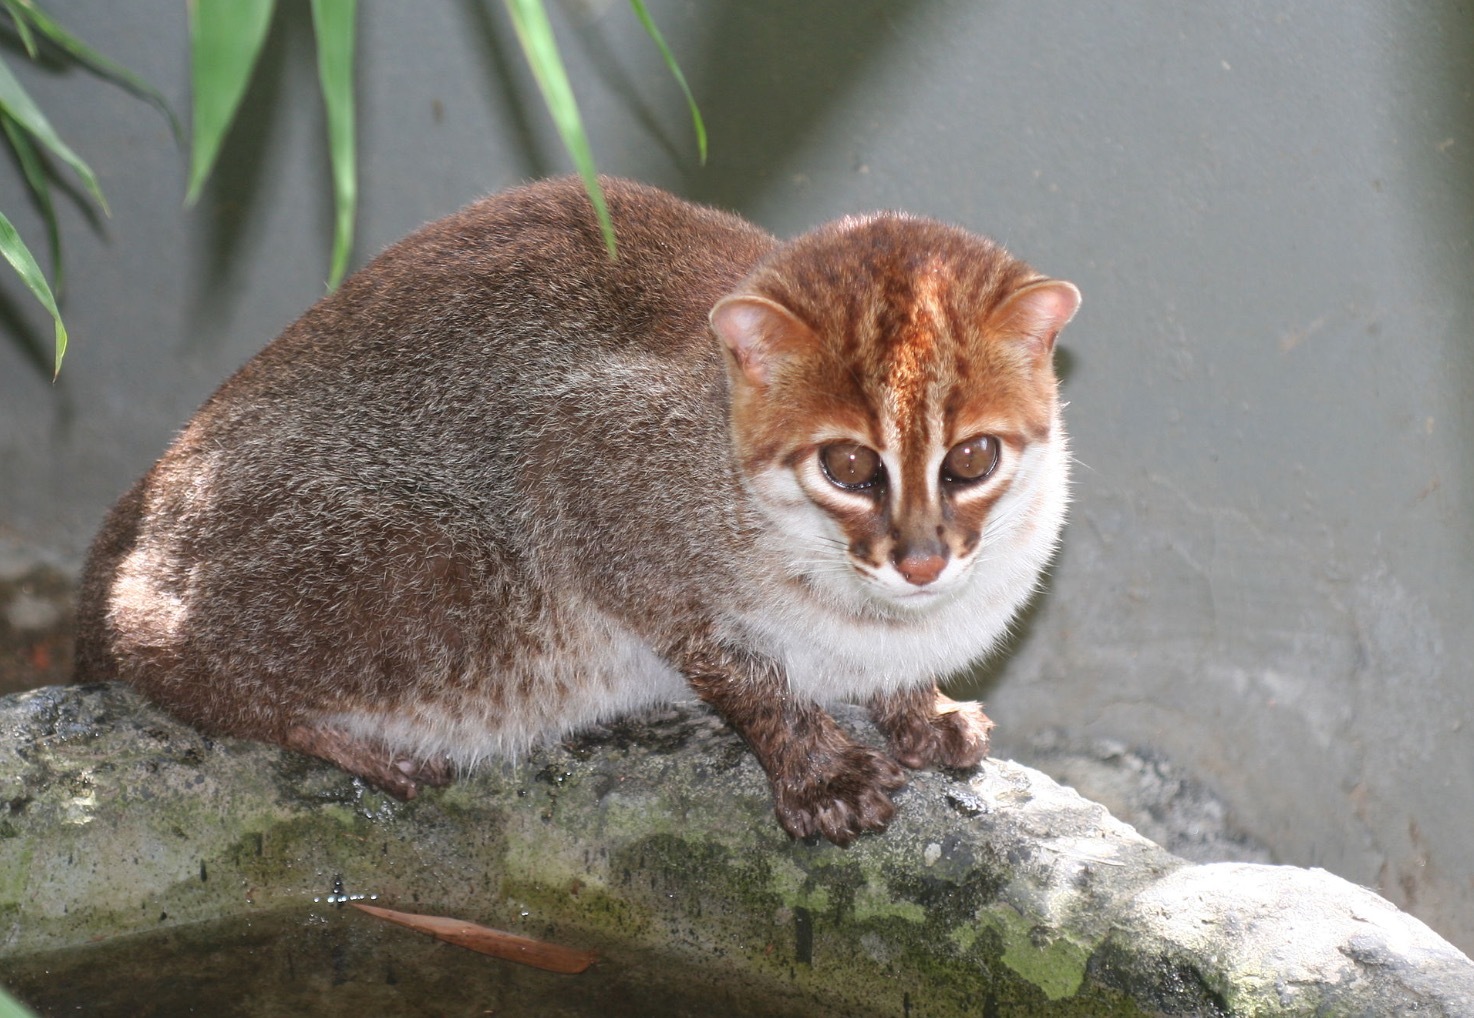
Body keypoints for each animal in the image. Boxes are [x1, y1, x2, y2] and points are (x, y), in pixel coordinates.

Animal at [74, 175, 1078, 842]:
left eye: (972, 459)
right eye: (849, 465)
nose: (922, 559)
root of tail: (134, 511)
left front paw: (920, 710)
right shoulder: (581, 470)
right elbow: (739, 670)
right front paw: (816, 762)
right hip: (441, 581)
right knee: (163, 654)